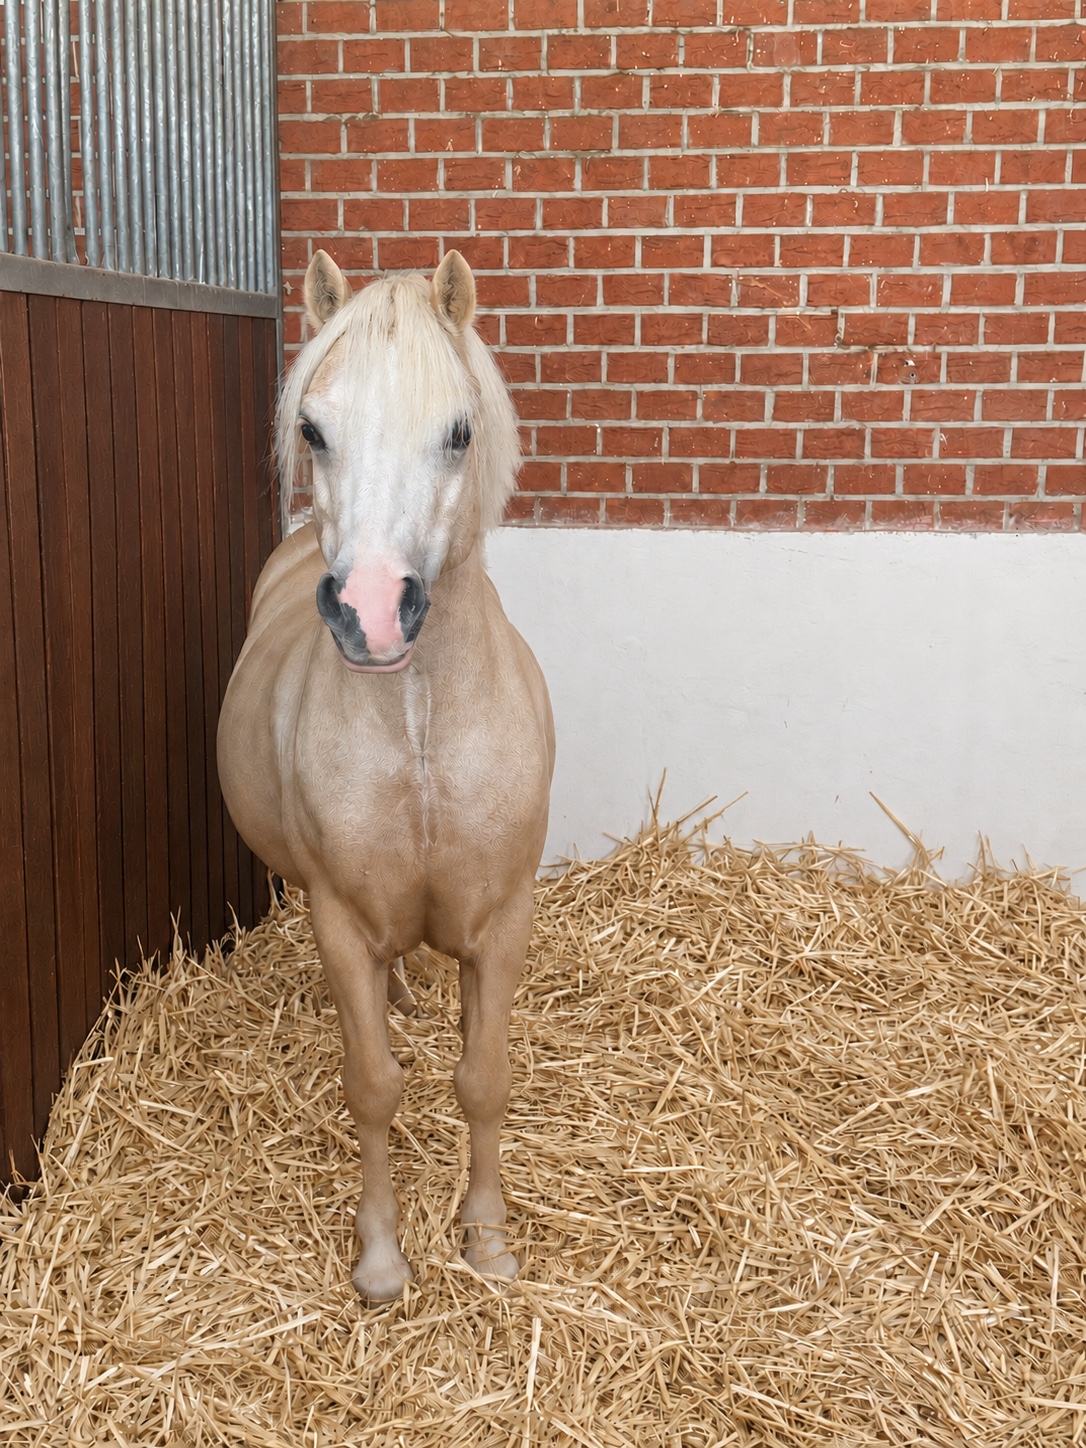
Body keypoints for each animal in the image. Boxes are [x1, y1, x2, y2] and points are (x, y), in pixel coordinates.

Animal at [217, 249, 555, 1301]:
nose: (368, 611)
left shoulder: (503, 922)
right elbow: (373, 1088)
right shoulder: (341, 923)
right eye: (313, 429)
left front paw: (487, 1241)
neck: (420, 734)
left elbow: (483, 1080)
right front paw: (380, 1257)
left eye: (459, 431)